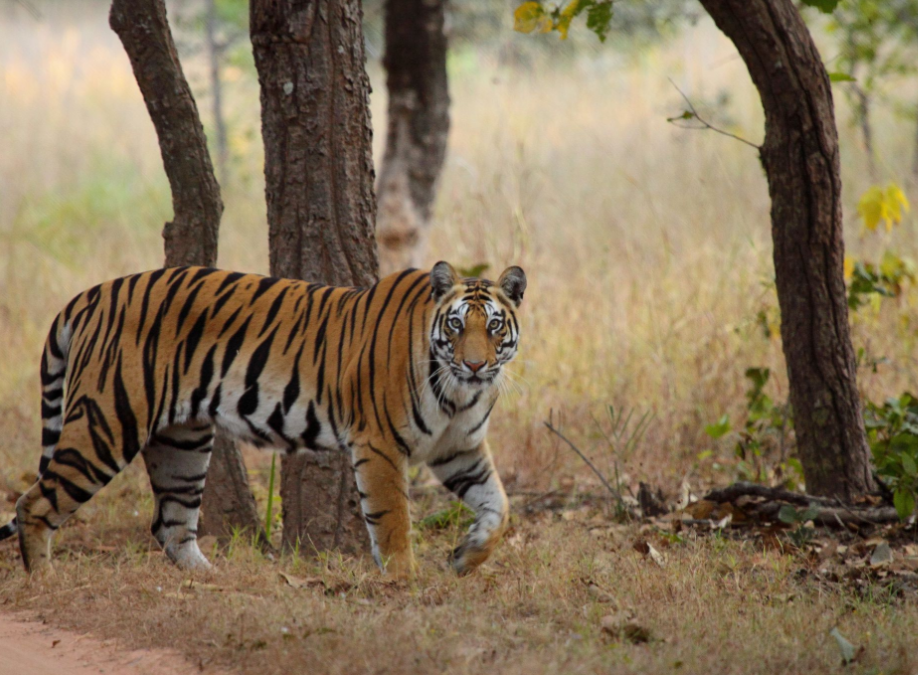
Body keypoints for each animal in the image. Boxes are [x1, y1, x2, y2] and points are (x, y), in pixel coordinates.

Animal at [0, 262, 526, 579]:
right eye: (455, 325)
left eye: (493, 326)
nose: (475, 365)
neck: (459, 394)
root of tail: (90, 294)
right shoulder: (379, 444)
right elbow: (392, 519)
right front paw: (405, 582)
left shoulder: (459, 448)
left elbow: (499, 506)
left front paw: (465, 557)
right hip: (106, 423)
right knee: (34, 503)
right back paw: (44, 582)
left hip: (183, 443)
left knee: (171, 525)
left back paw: (211, 582)